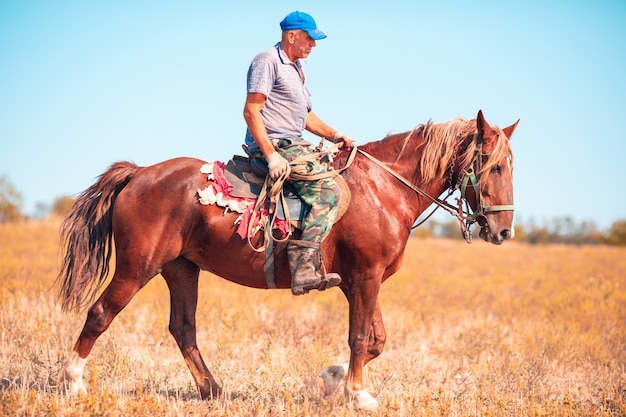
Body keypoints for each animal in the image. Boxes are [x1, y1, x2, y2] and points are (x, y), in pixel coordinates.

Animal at [57, 109, 516, 408]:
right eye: (492, 166)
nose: (504, 231)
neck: (383, 189)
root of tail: (139, 173)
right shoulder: (365, 277)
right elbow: (360, 337)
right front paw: (356, 393)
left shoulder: (360, 281)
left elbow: (376, 339)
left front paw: (335, 379)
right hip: (137, 268)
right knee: (100, 313)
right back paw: (73, 383)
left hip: (181, 269)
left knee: (183, 328)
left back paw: (213, 391)